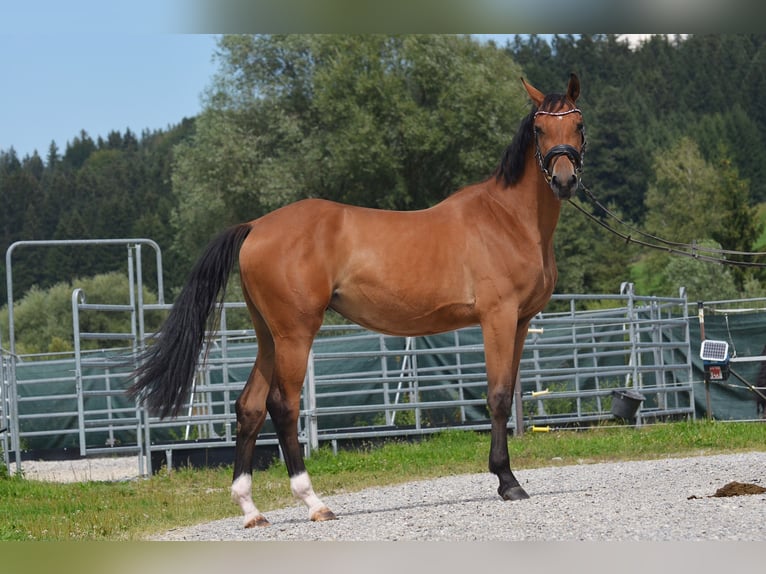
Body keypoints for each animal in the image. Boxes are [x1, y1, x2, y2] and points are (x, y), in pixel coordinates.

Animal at [130, 74, 588, 528]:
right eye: (538, 129)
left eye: (578, 124)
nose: (564, 180)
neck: (507, 219)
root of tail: (256, 225)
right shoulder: (498, 318)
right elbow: (497, 396)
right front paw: (507, 481)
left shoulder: (521, 321)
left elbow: (506, 393)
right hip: (295, 335)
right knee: (283, 405)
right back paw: (313, 502)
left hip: (268, 337)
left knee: (250, 407)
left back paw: (250, 509)